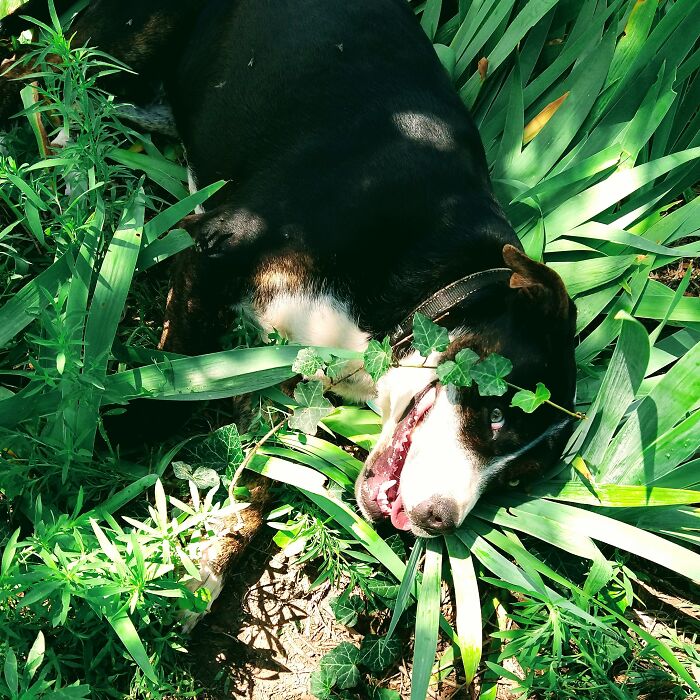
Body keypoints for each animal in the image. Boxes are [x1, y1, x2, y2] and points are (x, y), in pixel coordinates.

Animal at [2, 0, 576, 540]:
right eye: (496, 415)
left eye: (514, 479)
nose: (441, 521)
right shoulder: (215, 247)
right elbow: (179, 381)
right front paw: (96, 448)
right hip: (121, 44)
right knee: (30, 70)